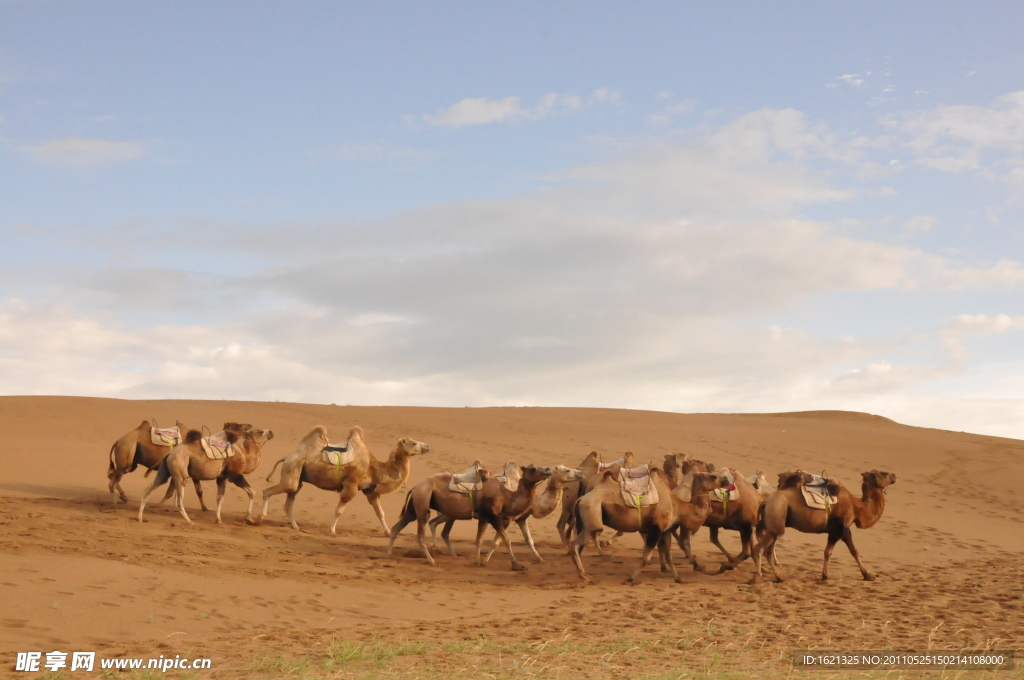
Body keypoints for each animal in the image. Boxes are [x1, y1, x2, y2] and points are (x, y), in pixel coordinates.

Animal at [137, 421, 272, 522]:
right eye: (260, 431)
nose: (271, 432)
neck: (245, 455)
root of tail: (171, 453)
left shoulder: (222, 477)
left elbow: (219, 498)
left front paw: (218, 520)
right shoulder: (234, 475)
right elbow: (252, 492)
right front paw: (249, 518)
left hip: (165, 471)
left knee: (149, 489)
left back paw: (140, 517)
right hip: (181, 471)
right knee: (178, 498)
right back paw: (189, 521)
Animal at [260, 426, 432, 536]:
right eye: (413, 443)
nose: (427, 446)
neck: (373, 467)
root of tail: (288, 456)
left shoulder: (370, 490)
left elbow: (380, 512)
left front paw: (388, 532)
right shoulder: (351, 485)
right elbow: (339, 510)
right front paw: (332, 531)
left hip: (298, 478)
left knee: (289, 502)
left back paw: (296, 527)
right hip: (292, 470)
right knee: (268, 491)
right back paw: (259, 518)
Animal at [387, 462, 552, 569]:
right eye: (533, 469)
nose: (548, 469)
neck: (505, 495)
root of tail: (415, 487)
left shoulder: (484, 518)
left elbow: (479, 540)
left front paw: (478, 562)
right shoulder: (493, 516)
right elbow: (506, 540)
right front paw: (516, 564)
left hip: (414, 507)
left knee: (397, 527)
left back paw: (389, 554)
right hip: (423, 501)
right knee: (421, 534)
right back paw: (432, 561)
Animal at [569, 462, 729, 585]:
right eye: (713, 476)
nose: (726, 480)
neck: (678, 506)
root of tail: (581, 499)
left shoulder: (665, 530)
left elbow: (669, 557)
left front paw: (678, 579)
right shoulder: (656, 528)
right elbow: (646, 558)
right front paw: (630, 579)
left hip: (585, 519)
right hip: (592, 516)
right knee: (575, 544)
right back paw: (583, 575)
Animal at [749, 466, 901, 585]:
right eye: (883, 473)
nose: (895, 476)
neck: (856, 506)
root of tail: (765, 502)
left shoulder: (845, 529)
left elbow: (854, 551)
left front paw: (868, 575)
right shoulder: (837, 529)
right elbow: (828, 552)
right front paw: (825, 576)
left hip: (773, 526)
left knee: (768, 550)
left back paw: (779, 577)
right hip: (776, 519)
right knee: (759, 549)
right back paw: (758, 577)